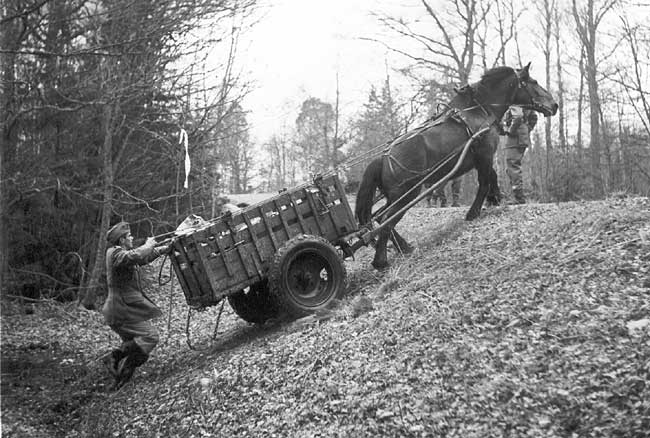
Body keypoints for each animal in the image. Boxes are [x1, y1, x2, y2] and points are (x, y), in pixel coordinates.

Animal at [354, 64, 556, 270]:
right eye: (533, 82)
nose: (554, 105)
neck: (480, 110)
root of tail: (384, 157)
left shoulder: (483, 158)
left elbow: (492, 178)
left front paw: (496, 199)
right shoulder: (485, 154)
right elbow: (484, 182)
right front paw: (474, 212)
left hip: (396, 195)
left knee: (380, 217)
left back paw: (405, 247)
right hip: (407, 193)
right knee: (386, 220)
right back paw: (381, 261)